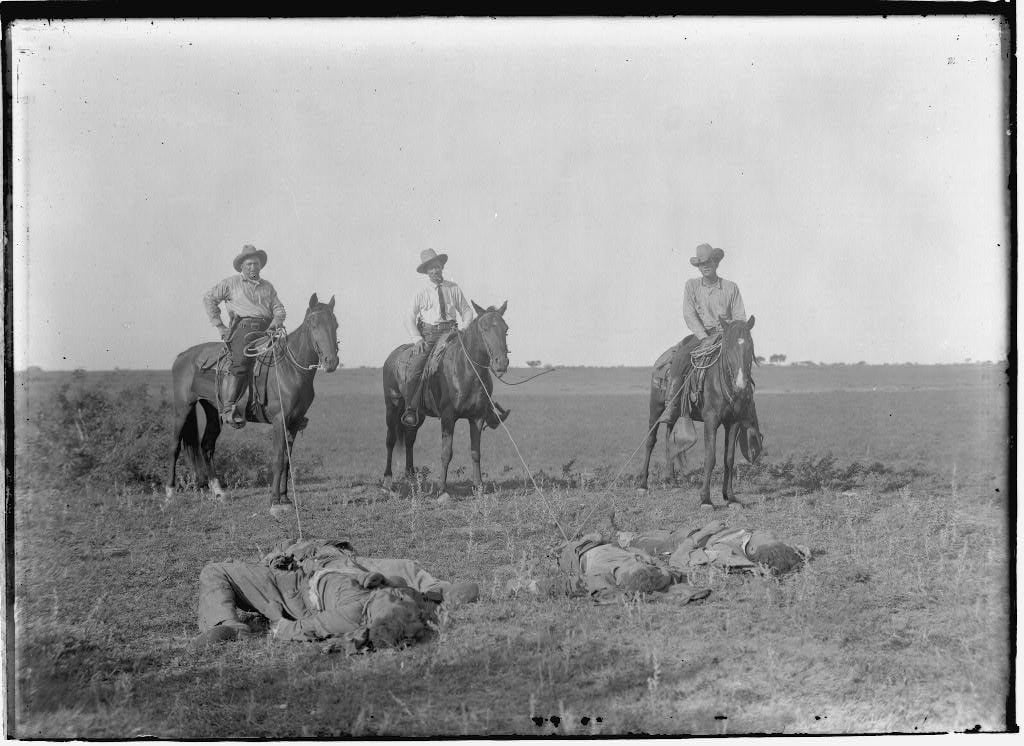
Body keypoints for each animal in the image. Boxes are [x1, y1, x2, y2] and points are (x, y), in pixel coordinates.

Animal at [166, 294, 339, 515]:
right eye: (313, 324)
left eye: (335, 324)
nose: (331, 361)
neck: (290, 368)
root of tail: (182, 356)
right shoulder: (279, 421)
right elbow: (277, 458)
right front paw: (274, 501)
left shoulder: (293, 423)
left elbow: (287, 460)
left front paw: (285, 499)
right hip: (183, 408)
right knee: (174, 446)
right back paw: (170, 494)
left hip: (213, 411)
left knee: (207, 446)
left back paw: (219, 492)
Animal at [382, 298, 509, 497]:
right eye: (484, 328)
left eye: (506, 329)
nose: (501, 363)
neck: (467, 371)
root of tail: (392, 357)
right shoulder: (448, 417)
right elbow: (446, 453)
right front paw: (442, 490)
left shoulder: (478, 417)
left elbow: (476, 452)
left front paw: (479, 487)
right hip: (392, 406)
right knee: (390, 440)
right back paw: (387, 482)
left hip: (417, 414)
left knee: (410, 439)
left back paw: (411, 476)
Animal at [638, 315, 761, 505]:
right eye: (727, 347)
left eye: (750, 345)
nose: (741, 385)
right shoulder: (710, 420)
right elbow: (710, 457)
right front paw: (706, 499)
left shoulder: (733, 422)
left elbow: (729, 458)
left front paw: (730, 496)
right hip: (655, 407)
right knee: (651, 440)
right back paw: (643, 485)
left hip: (674, 413)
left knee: (669, 438)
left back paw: (671, 479)